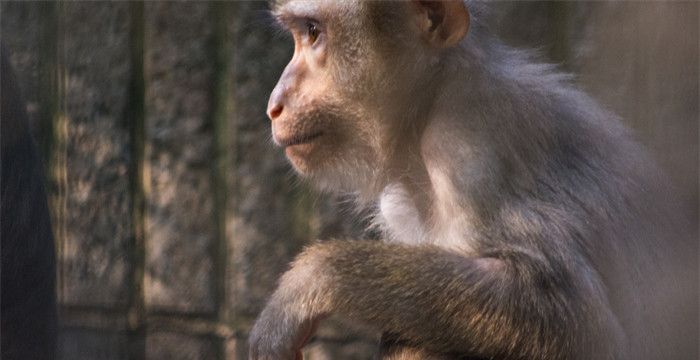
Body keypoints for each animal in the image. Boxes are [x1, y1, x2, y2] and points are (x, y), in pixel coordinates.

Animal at [247, 1, 696, 358]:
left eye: (313, 32)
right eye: (301, 33)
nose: (274, 103)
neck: (430, 105)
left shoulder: (470, 155)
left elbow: (580, 323)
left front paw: (310, 281)